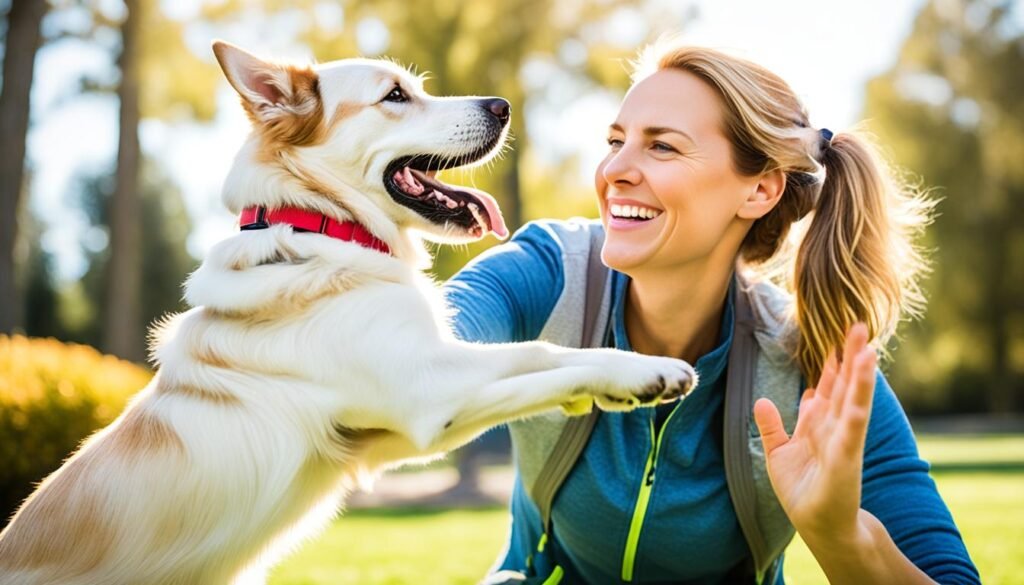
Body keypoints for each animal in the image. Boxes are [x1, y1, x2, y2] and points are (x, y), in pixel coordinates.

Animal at [0, 42, 696, 585]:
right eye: (395, 96)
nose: (502, 106)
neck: (326, 227)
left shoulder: (396, 425)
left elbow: (537, 355)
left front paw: (616, 381)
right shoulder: (430, 398)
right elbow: (550, 361)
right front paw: (643, 375)